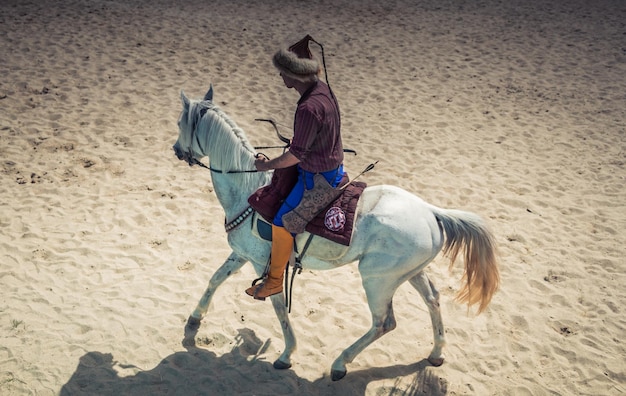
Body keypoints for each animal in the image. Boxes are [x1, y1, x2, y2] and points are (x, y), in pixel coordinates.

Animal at [173, 86, 500, 380]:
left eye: (179, 123)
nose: (177, 150)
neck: (248, 189)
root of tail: (431, 211)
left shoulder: (262, 264)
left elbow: (278, 306)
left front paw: (287, 353)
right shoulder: (242, 254)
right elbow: (215, 278)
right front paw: (194, 320)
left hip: (377, 280)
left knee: (384, 323)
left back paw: (341, 363)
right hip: (410, 273)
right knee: (432, 298)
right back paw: (436, 352)